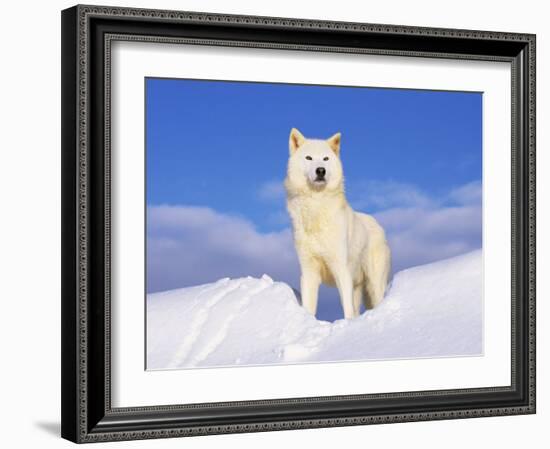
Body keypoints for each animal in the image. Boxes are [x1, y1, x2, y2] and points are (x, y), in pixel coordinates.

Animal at [284, 127, 392, 318]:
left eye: (325, 159)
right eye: (309, 158)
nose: (320, 170)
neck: (316, 208)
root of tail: (377, 224)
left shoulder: (341, 269)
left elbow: (346, 309)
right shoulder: (308, 272)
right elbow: (309, 307)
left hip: (374, 285)